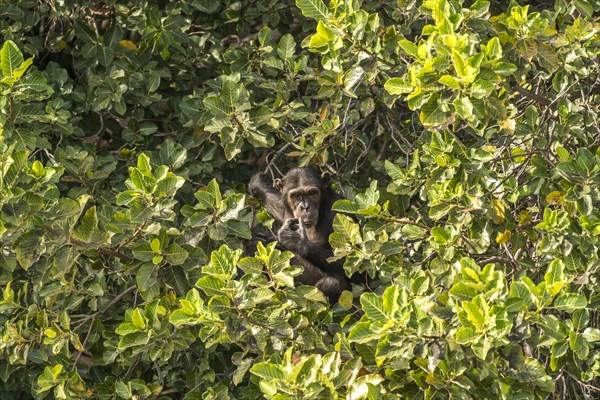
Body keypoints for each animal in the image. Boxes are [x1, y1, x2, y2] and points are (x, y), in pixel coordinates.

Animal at [246, 167, 354, 302]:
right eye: (296, 196)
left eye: (312, 193)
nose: (305, 207)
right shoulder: (285, 208)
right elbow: (277, 204)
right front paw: (258, 183)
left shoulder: (339, 211)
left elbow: (350, 263)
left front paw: (295, 239)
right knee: (254, 244)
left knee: (334, 284)